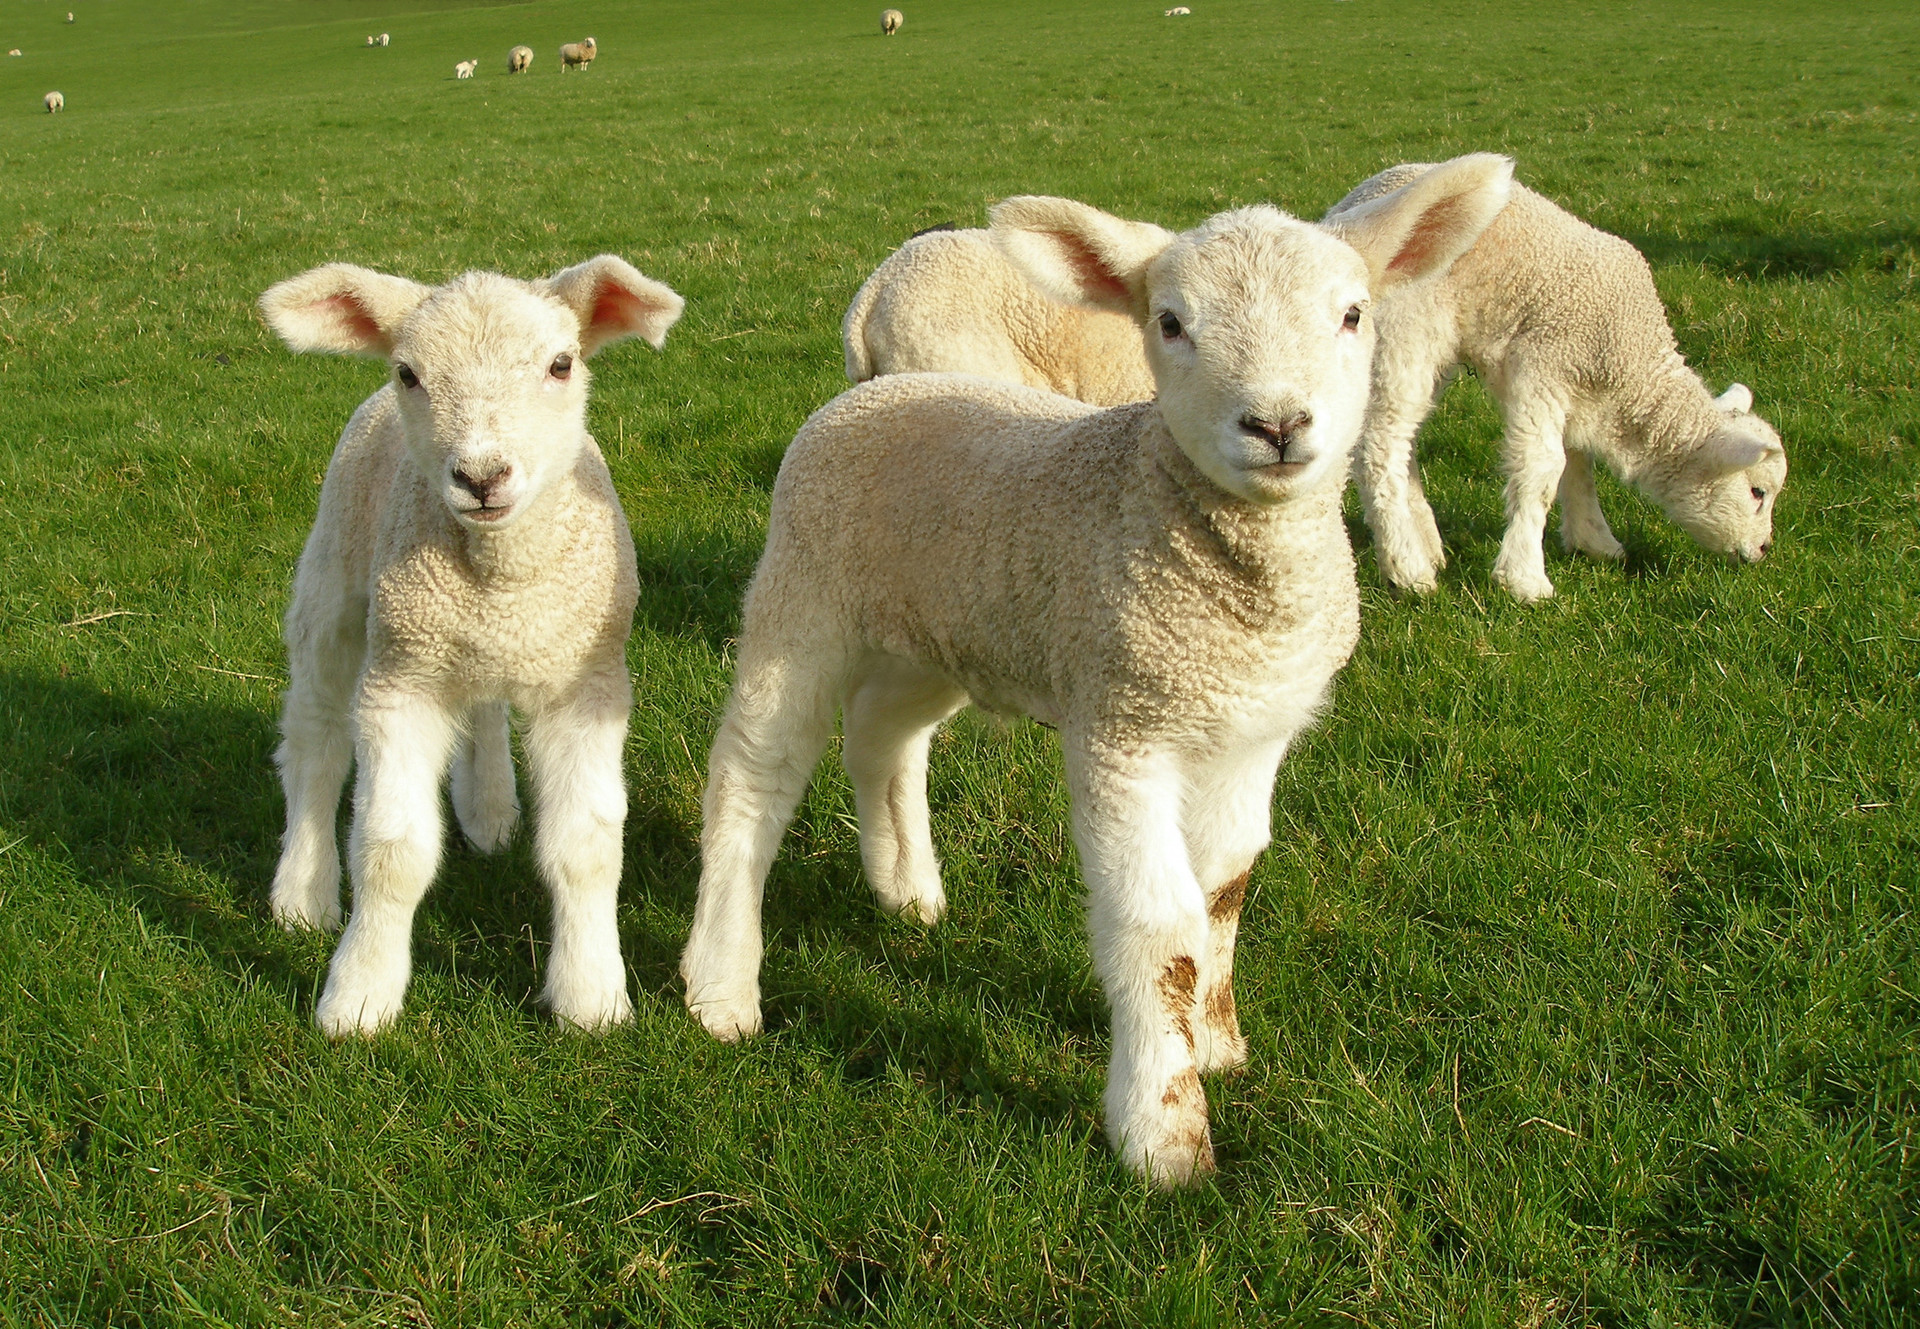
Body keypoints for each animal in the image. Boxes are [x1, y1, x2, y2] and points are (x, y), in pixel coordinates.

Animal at [258, 255, 685, 1037]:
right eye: (409, 373)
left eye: (560, 363)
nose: (481, 476)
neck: (499, 579)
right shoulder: (402, 683)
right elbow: (391, 849)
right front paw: (358, 996)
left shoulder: (587, 684)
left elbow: (586, 848)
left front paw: (592, 996)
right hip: (335, 584)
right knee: (314, 742)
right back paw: (302, 893)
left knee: (482, 710)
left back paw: (488, 813)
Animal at [1329, 163, 1788, 602]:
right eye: (1757, 492)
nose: (1764, 550)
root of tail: (1347, 213)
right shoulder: (1544, 364)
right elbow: (1542, 469)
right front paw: (1525, 578)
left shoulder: (1579, 388)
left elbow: (1579, 462)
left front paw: (1595, 540)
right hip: (1404, 331)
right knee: (1380, 448)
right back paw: (1407, 568)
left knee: (1405, 441)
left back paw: (1428, 544)